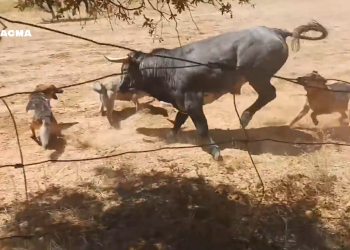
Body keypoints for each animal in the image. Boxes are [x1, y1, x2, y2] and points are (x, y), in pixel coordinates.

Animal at [103, 21, 328, 160]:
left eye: (124, 70)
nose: (120, 87)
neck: (168, 67)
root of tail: (275, 31)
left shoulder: (193, 100)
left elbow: (202, 127)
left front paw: (214, 150)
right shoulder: (183, 102)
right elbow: (178, 120)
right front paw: (171, 136)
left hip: (256, 75)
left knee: (269, 94)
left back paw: (245, 117)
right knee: (268, 95)